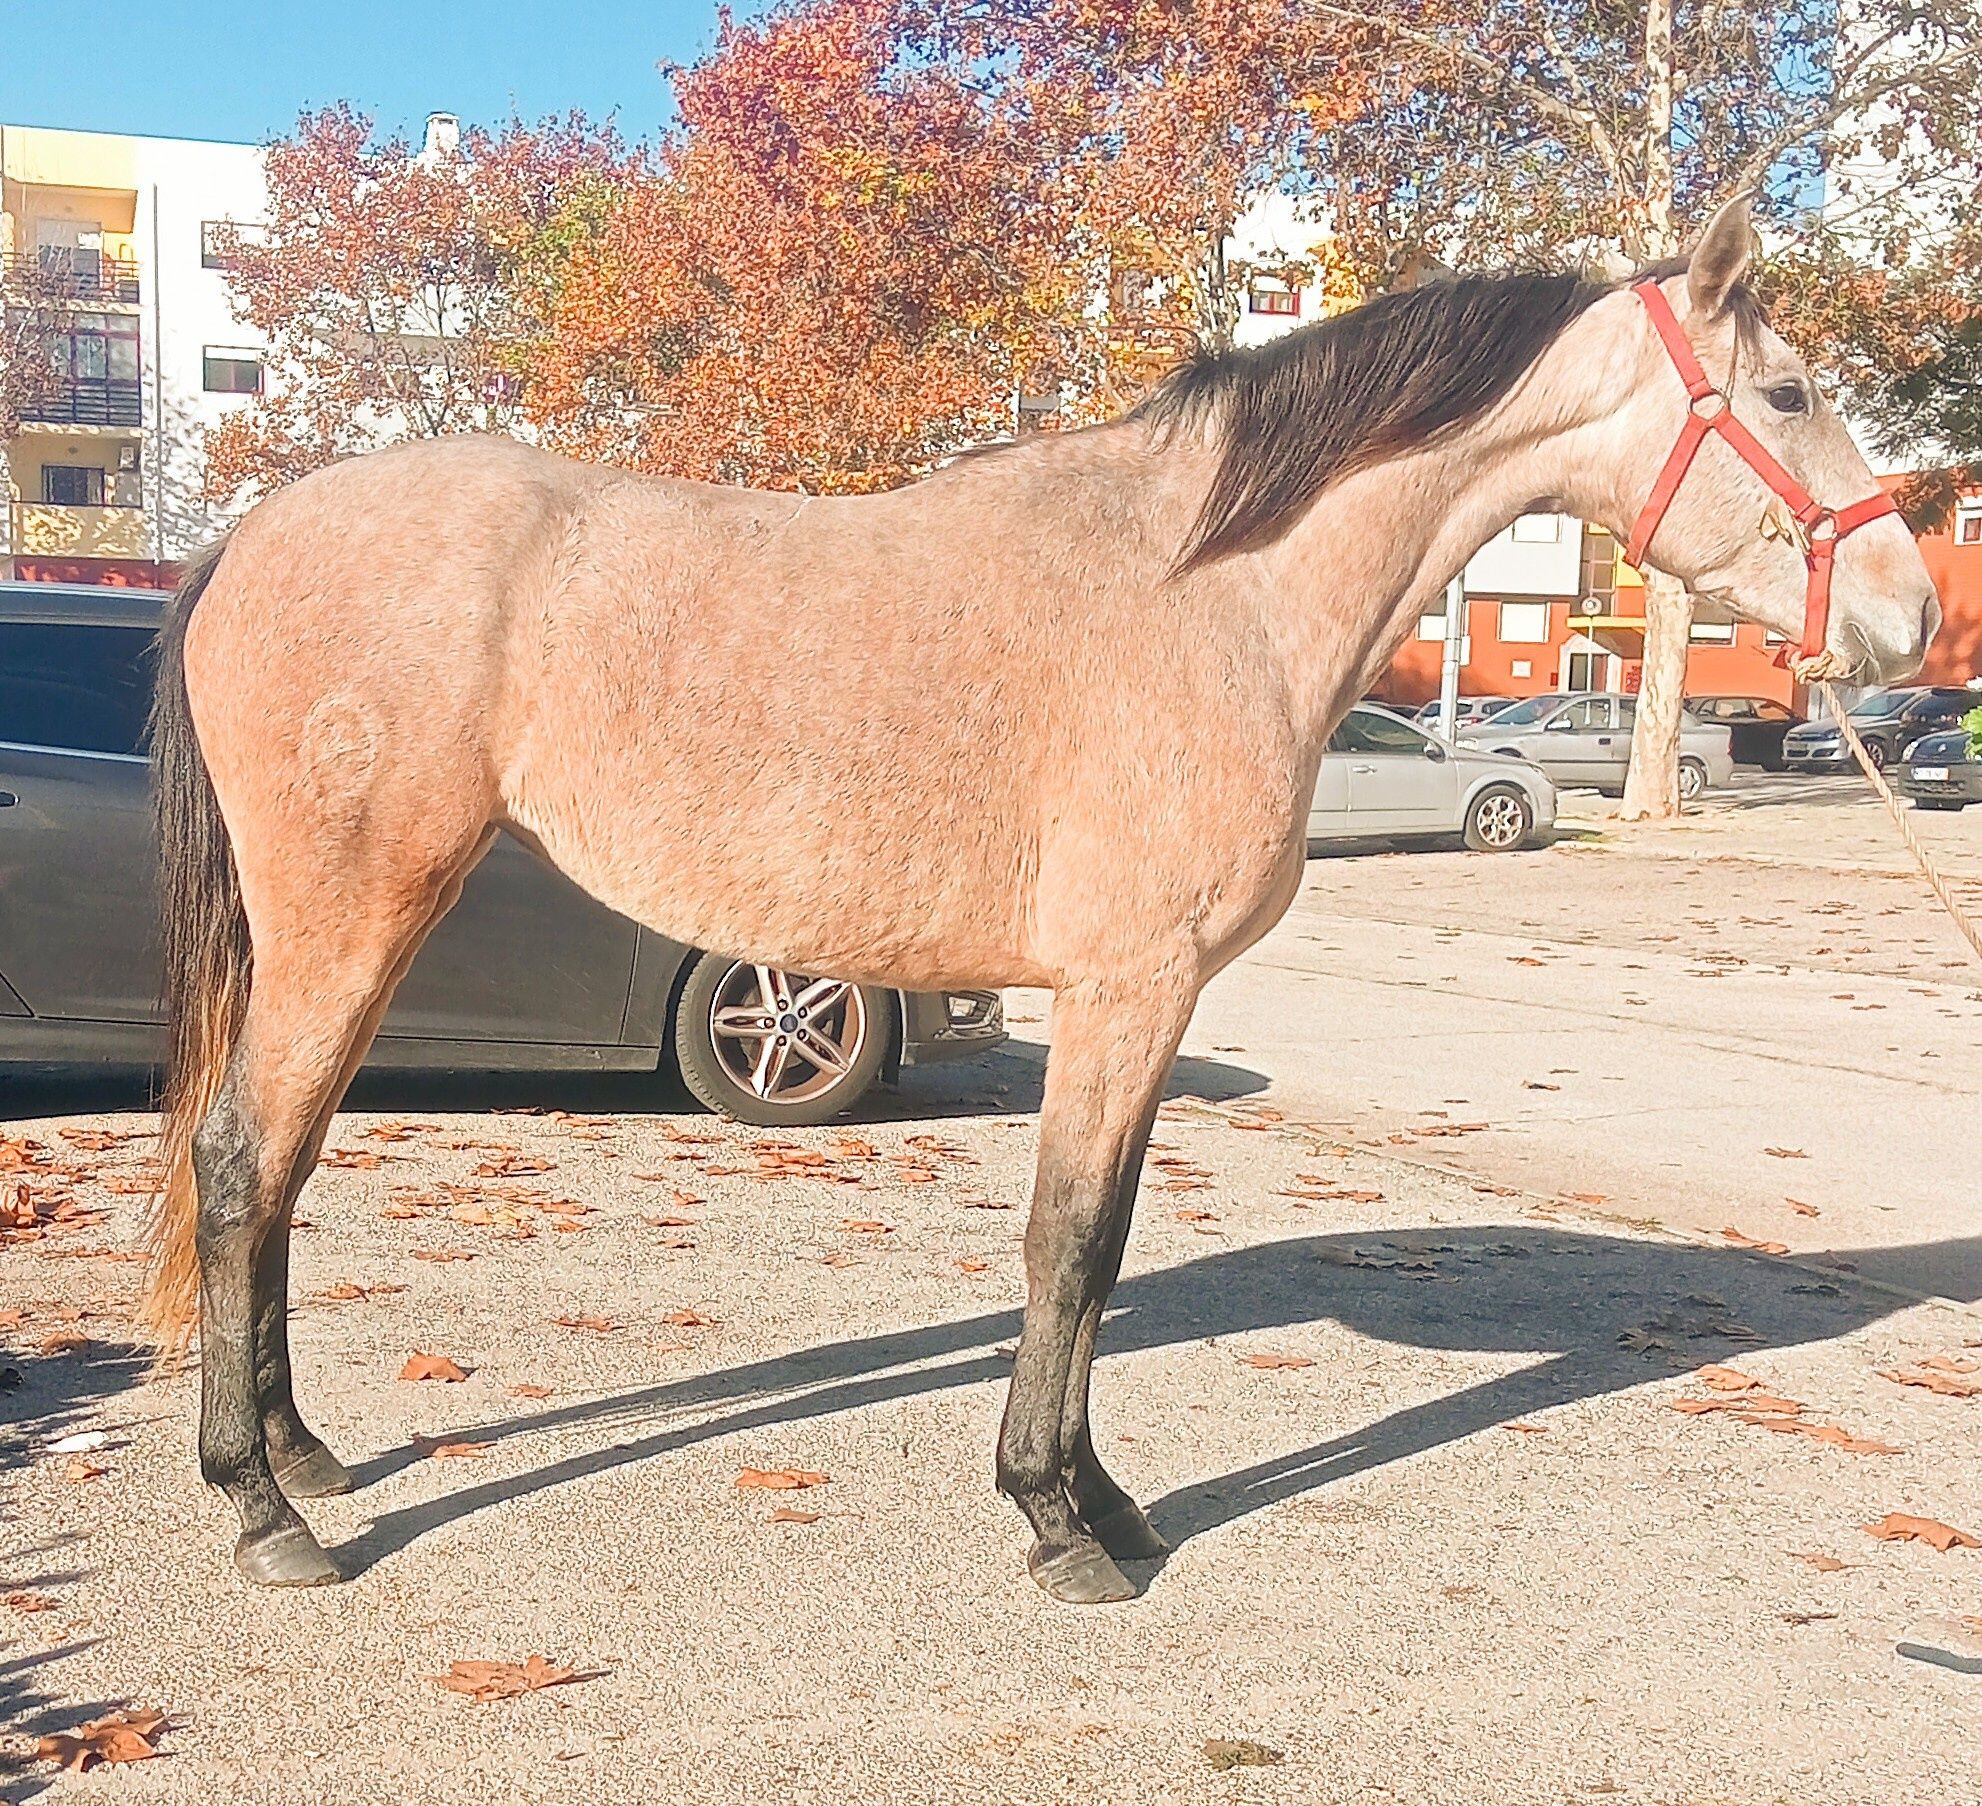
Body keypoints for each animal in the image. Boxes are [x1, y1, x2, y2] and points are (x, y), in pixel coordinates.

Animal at [150, 198, 1934, 1601]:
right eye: (1785, 389)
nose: (1909, 612)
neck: (1210, 592)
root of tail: (250, 537)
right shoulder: (1131, 983)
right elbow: (1068, 1240)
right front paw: (1056, 1521)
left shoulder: (1136, 997)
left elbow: (1106, 1241)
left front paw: (1105, 1500)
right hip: (348, 914)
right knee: (242, 1162)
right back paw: (260, 1509)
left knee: (279, 1168)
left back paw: (306, 1456)